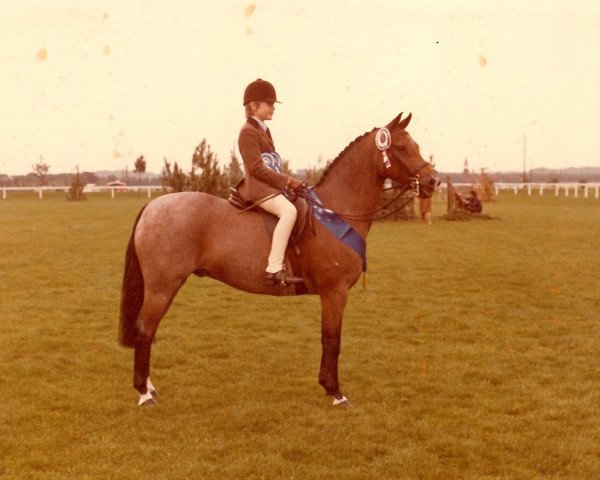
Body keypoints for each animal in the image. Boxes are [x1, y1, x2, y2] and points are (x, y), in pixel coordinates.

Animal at [120, 112, 440, 404]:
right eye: (402, 147)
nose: (433, 181)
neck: (336, 210)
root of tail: (152, 206)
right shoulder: (334, 293)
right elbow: (332, 340)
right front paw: (335, 392)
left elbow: (329, 339)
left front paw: (328, 387)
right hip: (162, 287)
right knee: (145, 330)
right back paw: (144, 394)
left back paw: (148, 388)